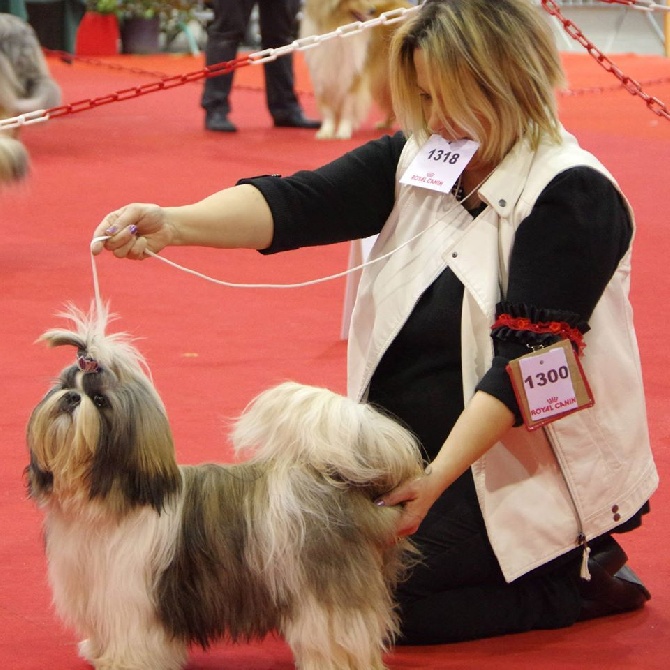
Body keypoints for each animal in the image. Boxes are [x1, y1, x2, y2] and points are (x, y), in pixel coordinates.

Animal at [27, 306, 426, 670]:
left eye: (100, 401)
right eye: (65, 387)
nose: (70, 398)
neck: (106, 498)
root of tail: (336, 478)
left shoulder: (132, 596)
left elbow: (135, 638)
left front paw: (125, 662)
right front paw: (98, 652)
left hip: (325, 593)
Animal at [300, 0, 414, 139]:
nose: (372, 10)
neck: (336, 25)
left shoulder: (351, 75)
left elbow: (347, 106)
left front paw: (343, 131)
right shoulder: (322, 75)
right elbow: (327, 108)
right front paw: (326, 132)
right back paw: (384, 125)